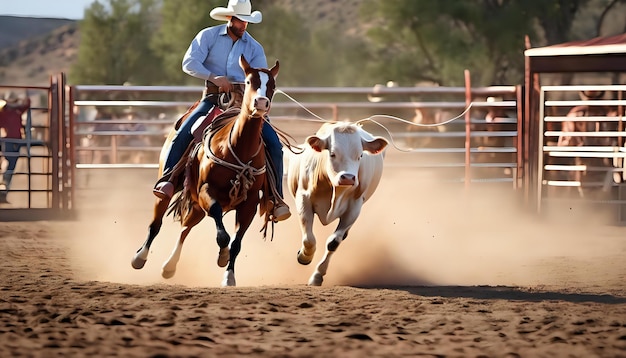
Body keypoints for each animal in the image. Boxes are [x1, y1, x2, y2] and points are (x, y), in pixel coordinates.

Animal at [132, 55, 278, 286]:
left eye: (272, 85)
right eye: (249, 82)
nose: (261, 103)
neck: (237, 146)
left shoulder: (250, 204)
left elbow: (236, 242)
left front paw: (229, 275)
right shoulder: (206, 190)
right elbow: (223, 234)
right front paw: (222, 256)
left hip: (197, 205)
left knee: (185, 228)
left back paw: (169, 266)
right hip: (171, 189)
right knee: (156, 223)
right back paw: (140, 257)